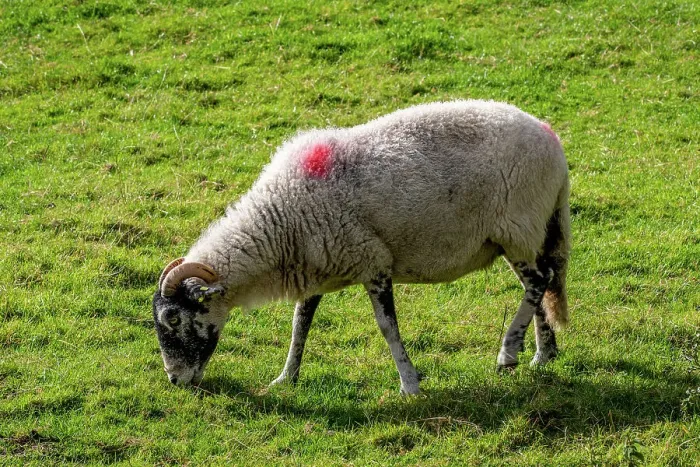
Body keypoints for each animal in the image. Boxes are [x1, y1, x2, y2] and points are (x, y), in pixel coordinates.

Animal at [152, 100, 570, 394]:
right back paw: (542, 355)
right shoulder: (317, 267)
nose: (174, 380)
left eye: (172, 319)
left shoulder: (374, 263)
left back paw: (508, 354)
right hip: (520, 234)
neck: (280, 221)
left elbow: (387, 327)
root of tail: (552, 141)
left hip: (517, 227)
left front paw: (409, 384)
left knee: (539, 281)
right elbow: (300, 324)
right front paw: (286, 377)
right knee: (538, 285)